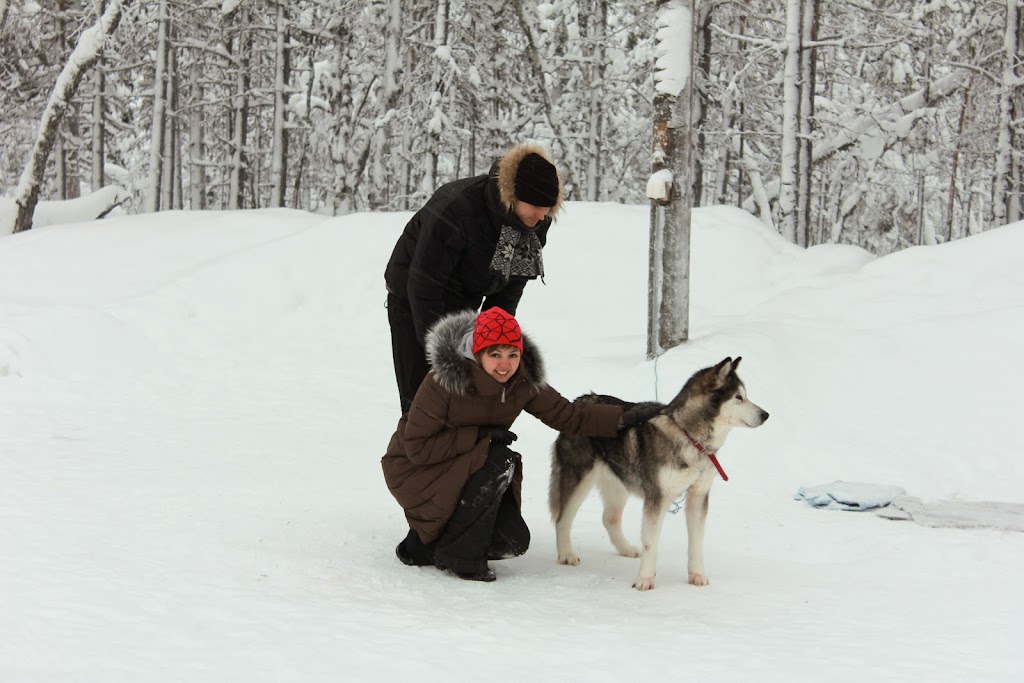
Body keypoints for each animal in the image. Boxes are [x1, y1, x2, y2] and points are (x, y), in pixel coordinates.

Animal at [548, 360, 765, 589]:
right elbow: (651, 543)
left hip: (619, 483)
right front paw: (645, 580)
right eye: (738, 397)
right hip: (579, 479)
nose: (766, 415)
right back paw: (566, 554)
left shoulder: (698, 495)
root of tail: (580, 399)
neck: (690, 438)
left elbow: (696, 542)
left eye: (745, 395)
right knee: (562, 519)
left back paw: (626, 548)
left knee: (609, 519)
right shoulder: (657, 497)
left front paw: (697, 575)